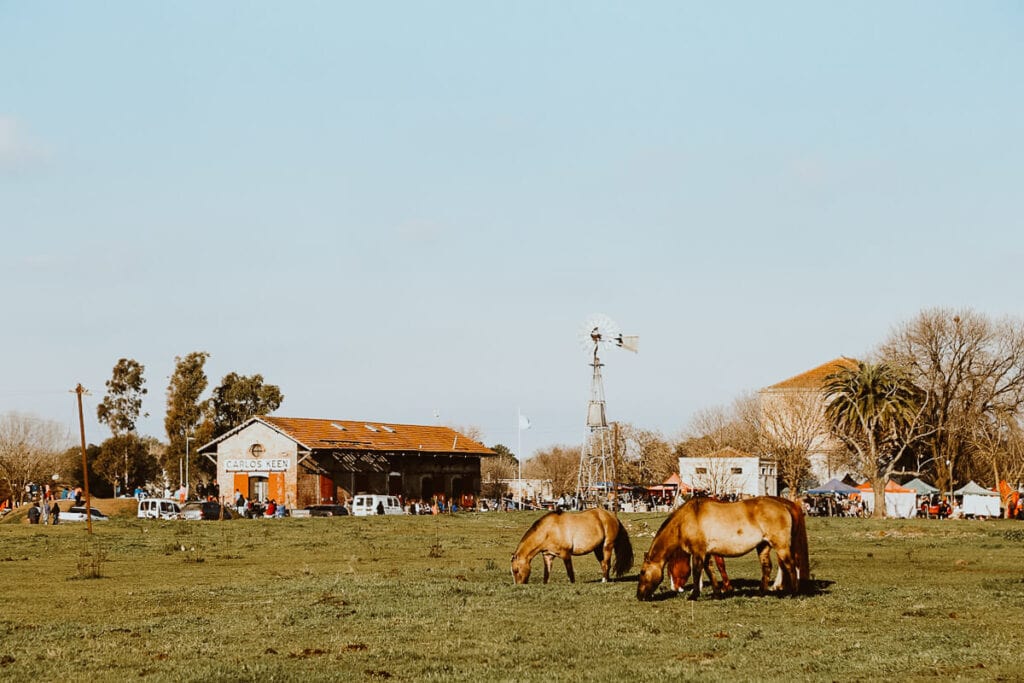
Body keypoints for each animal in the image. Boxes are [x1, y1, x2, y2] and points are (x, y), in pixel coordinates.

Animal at [630, 493, 806, 602]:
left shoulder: (698, 552)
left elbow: (697, 572)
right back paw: (761, 593)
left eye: (642, 572)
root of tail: (785, 505)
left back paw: (794, 592)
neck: (686, 520)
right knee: (767, 567)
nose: (639, 596)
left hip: (781, 546)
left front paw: (694, 595)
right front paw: (716, 593)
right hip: (763, 546)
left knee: (790, 565)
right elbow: (710, 571)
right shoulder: (707, 553)